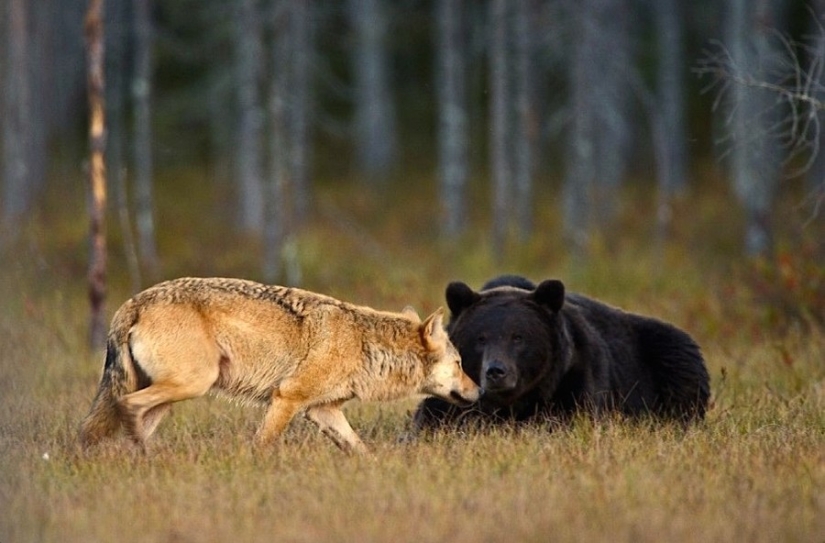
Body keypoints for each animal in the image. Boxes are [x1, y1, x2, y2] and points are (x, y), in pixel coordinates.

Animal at [78, 277, 480, 454]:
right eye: (460, 362)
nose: (480, 390)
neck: (364, 344)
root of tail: (133, 302)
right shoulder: (287, 398)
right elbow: (263, 443)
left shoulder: (322, 411)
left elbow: (360, 449)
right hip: (190, 384)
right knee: (128, 406)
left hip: (172, 396)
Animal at [413, 275, 710, 430]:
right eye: (480, 338)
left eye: (518, 337)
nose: (496, 371)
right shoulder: (451, 392)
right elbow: (433, 420)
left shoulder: (573, 383)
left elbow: (567, 421)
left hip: (668, 357)